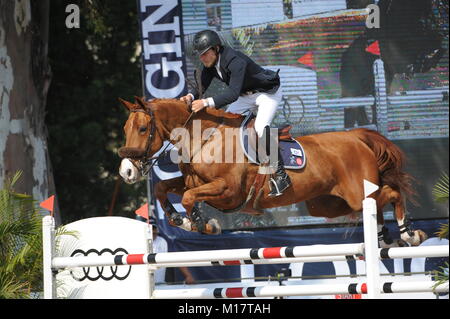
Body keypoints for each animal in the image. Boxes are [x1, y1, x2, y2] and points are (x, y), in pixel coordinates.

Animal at [118, 97, 428, 248]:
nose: (126, 172)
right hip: (326, 204)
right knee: (375, 203)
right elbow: (164, 189)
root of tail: (355, 136)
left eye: (143, 129)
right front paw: (182, 220)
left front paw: (201, 224)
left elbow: (189, 198)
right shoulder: (192, 181)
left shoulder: (228, 192)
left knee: (391, 192)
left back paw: (409, 234)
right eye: (124, 129)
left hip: (356, 192)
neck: (205, 138)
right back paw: (385, 237)